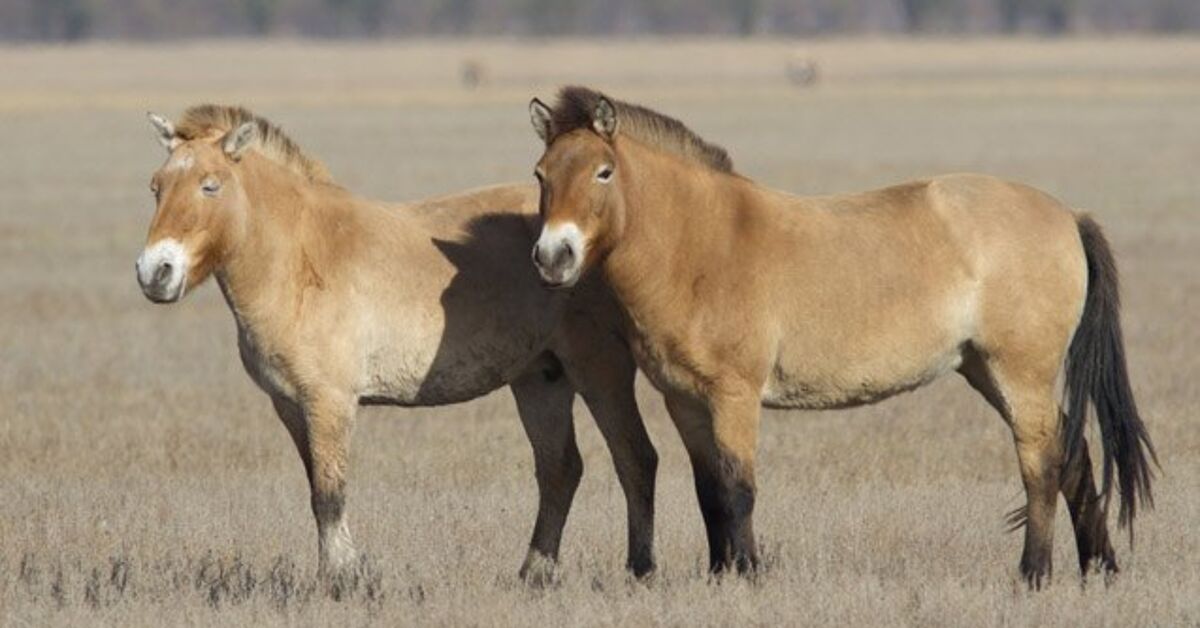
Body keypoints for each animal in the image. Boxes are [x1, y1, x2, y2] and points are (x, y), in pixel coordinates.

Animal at [135, 105, 659, 585]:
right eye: (156, 186)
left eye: (210, 185)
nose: (154, 272)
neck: (299, 259)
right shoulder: (289, 405)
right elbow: (316, 490)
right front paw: (347, 571)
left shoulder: (330, 402)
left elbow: (329, 494)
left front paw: (340, 580)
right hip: (540, 381)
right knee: (560, 470)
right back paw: (534, 573)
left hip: (600, 373)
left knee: (635, 458)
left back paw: (640, 569)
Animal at [526, 86, 1157, 587]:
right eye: (541, 175)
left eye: (603, 171)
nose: (554, 257)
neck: (701, 244)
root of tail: (1067, 215)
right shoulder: (684, 400)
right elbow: (709, 491)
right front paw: (719, 575)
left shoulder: (735, 396)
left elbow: (737, 488)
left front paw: (747, 577)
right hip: (986, 371)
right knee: (1073, 456)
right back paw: (1099, 570)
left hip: (1019, 372)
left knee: (1042, 463)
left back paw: (1033, 574)